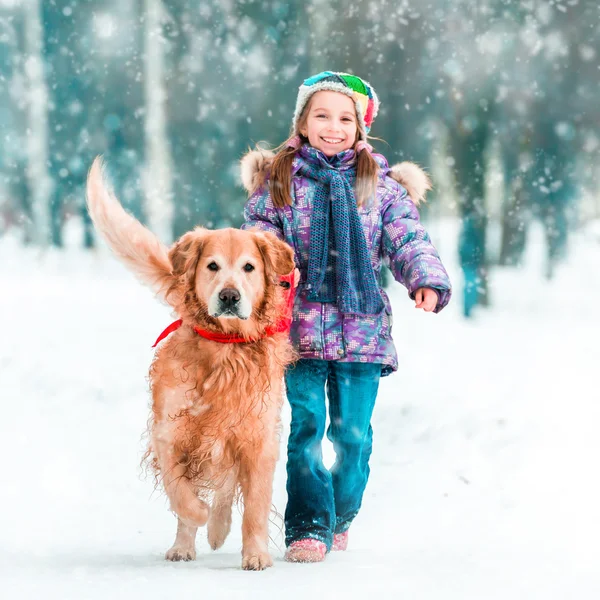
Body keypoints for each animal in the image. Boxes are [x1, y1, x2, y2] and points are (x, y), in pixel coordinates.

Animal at [85, 157, 298, 568]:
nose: (229, 296)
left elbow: (253, 505)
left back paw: (217, 529)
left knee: (228, 489)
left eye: (249, 267)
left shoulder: (257, 436)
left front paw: (256, 555)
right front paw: (196, 515)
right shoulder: (170, 430)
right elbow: (180, 491)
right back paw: (185, 545)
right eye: (212, 266)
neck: (225, 347)